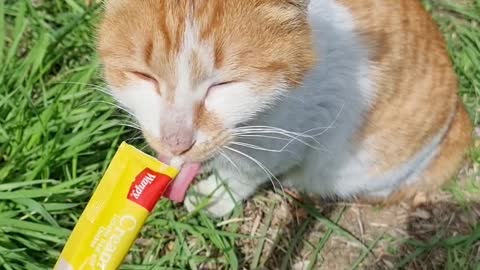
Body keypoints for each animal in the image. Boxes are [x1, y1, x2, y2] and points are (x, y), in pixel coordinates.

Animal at [97, 0, 472, 217]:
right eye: (145, 77)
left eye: (224, 85)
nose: (176, 141)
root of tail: (459, 113)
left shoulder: (295, 133)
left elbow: (245, 172)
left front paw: (215, 197)